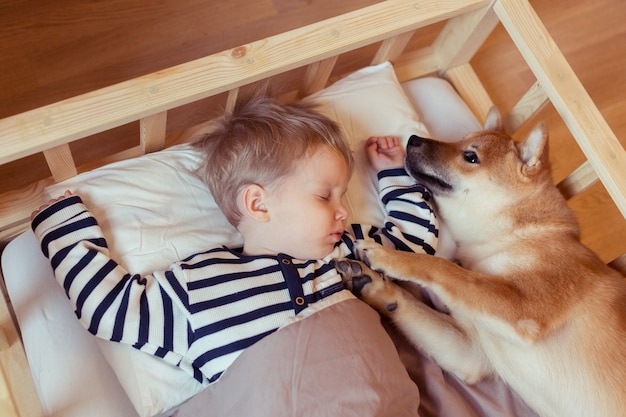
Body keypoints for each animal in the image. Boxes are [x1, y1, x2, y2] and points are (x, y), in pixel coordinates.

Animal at [336, 109, 624, 416]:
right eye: (461, 140)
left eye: (470, 157)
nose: (412, 139)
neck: (513, 235)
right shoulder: (473, 351)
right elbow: (411, 303)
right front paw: (373, 285)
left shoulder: (523, 307)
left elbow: (441, 268)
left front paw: (389, 257)